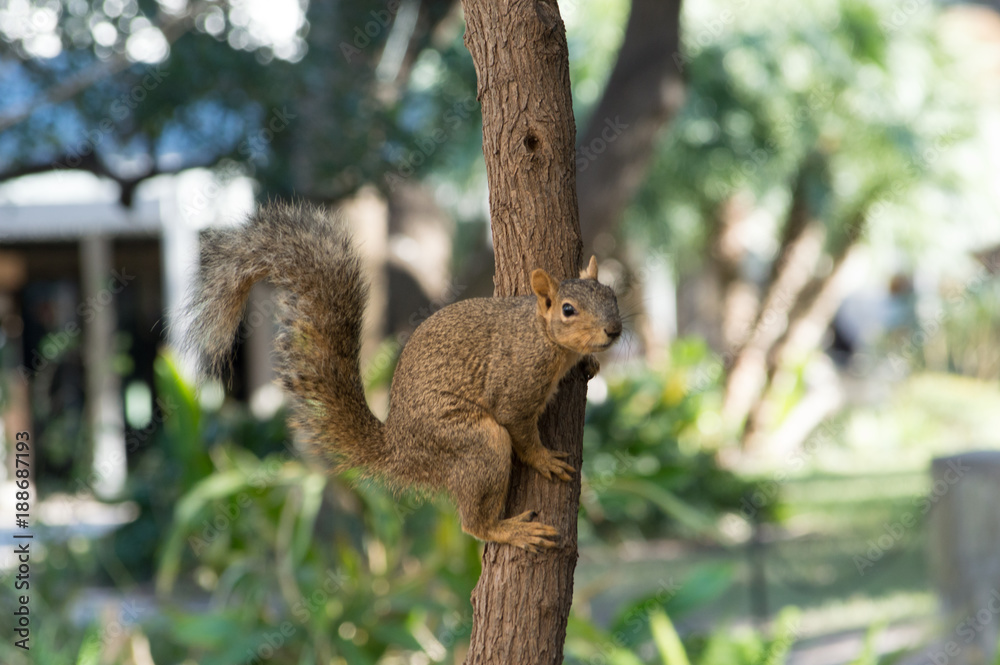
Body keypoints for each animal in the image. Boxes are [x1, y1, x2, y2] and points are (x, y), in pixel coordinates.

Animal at [187, 203, 622, 552]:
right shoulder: (517, 382)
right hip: (472, 442)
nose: (614, 331)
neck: (543, 335)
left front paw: (591, 364)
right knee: (473, 519)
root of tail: (398, 448)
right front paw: (545, 459)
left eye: (612, 295)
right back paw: (505, 530)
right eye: (568, 310)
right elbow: (519, 425)